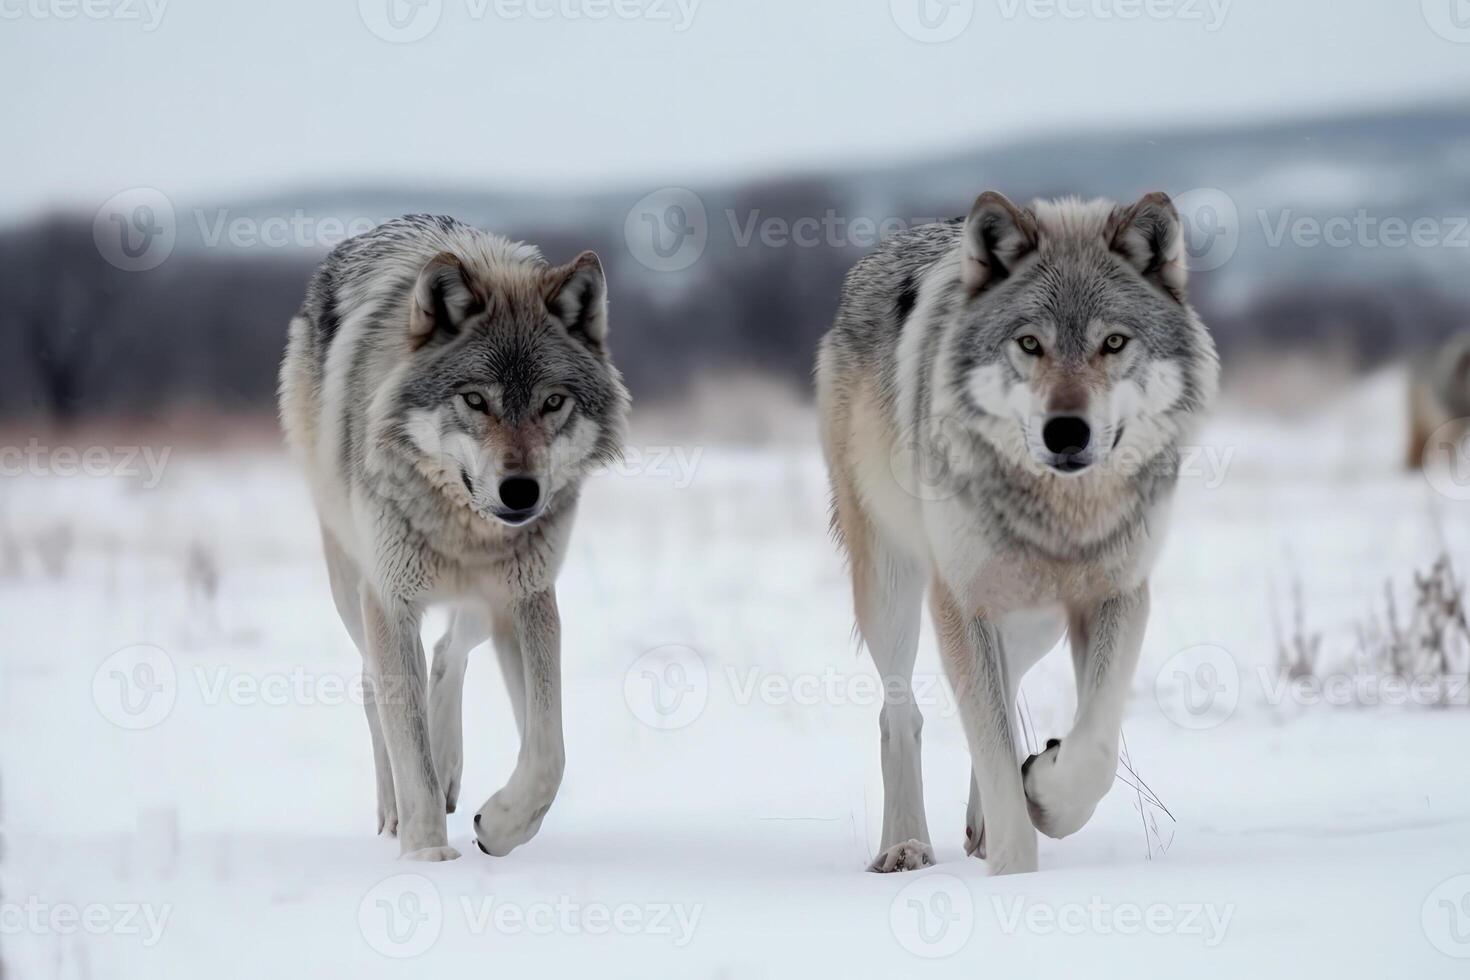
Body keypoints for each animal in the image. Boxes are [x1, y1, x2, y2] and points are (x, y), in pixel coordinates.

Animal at [277, 213, 629, 858]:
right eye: (474, 399)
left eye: (553, 402)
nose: (521, 492)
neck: (466, 527)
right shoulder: (389, 601)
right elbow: (408, 747)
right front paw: (425, 854)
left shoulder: (528, 597)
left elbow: (549, 753)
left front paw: (499, 826)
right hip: (352, 586)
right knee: (375, 688)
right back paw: (395, 810)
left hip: (482, 606)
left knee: (446, 656)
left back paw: (449, 771)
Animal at [817, 189, 1217, 875]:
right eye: (1029, 343)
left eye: (1113, 342)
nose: (1066, 431)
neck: (1060, 513)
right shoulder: (960, 600)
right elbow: (994, 749)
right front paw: (1013, 872)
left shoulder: (1116, 596)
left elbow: (1093, 748)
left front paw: (1046, 795)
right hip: (893, 593)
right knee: (903, 716)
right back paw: (905, 845)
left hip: (1034, 623)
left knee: (1005, 694)